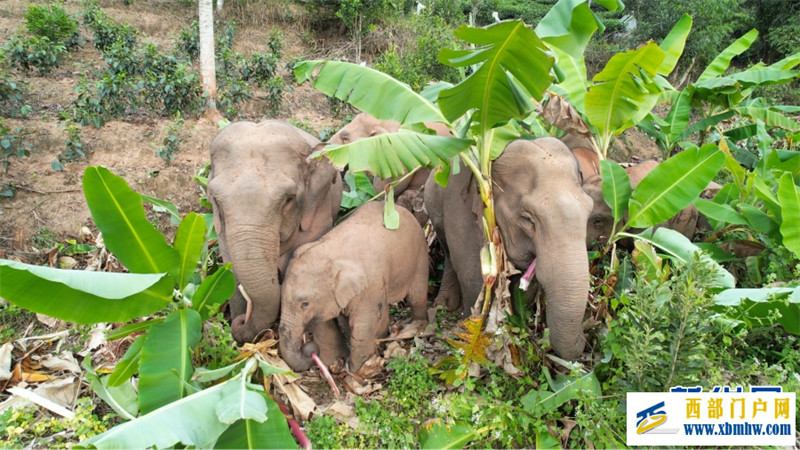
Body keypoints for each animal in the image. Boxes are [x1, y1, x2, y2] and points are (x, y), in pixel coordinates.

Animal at [282, 200, 432, 372]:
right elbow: (340, 321)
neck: (330, 253)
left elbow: (361, 325)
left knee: (416, 296)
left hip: (420, 254)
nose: (310, 350)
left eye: (305, 304)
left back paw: (417, 326)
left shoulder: (369, 285)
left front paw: (356, 371)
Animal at [424, 135, 592, 360]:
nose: (585, 335)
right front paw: (477, 328)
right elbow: (471, 273)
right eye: (527, 219)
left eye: (590, 210)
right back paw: (444, 305)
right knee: (449, 254)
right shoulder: (460, 209)